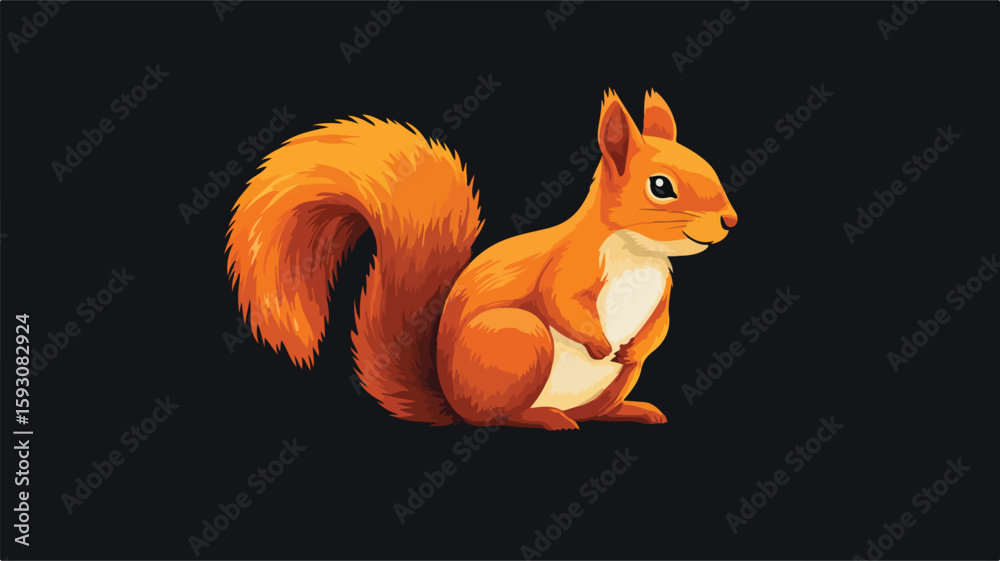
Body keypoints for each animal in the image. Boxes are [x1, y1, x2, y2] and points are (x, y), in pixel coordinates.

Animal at [226, 89, 737, 430]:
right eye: (660, 186)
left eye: (706, 164)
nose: (730, 220)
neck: (640, 254)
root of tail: (452, 403)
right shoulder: (570, 265)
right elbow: (559, 301)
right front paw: (598, 344)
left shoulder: (663, 291)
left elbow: (661, 325)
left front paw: (634, 345)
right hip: (520, 341)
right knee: (499, 417)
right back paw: (546, 418)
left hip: (612, 381)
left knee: (598, 408)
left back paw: (631, 410)